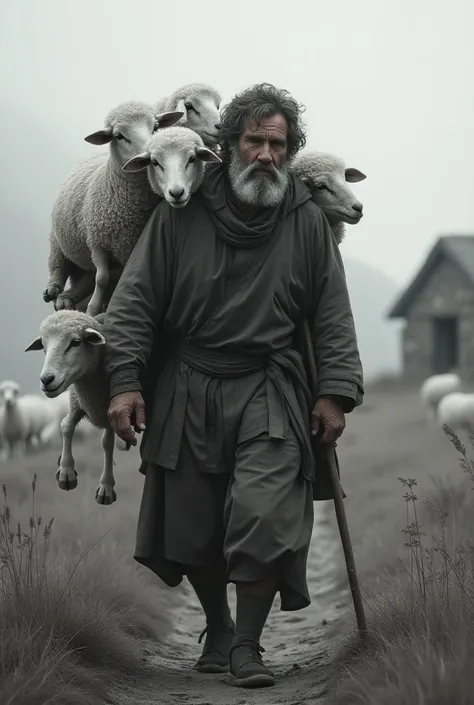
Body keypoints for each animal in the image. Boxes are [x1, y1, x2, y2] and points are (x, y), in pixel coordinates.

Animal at [24, 310, 118, 504]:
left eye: (76, 342)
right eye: (43, 346)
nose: (46, 380)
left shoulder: (108, 408)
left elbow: (107, 442)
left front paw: (106, 486)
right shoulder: (79, 400)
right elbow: (66, 425)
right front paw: (66, 470)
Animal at [43, 99, 183, 316]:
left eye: (156, 127)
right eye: (119, 136)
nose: (148, 155)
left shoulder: (132, 250)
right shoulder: (98, 243)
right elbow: (102, 279)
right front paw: (93, 309)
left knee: (85, 280)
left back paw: (67, 299)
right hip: (58, 240)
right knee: (58, 264)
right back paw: (53, 289)